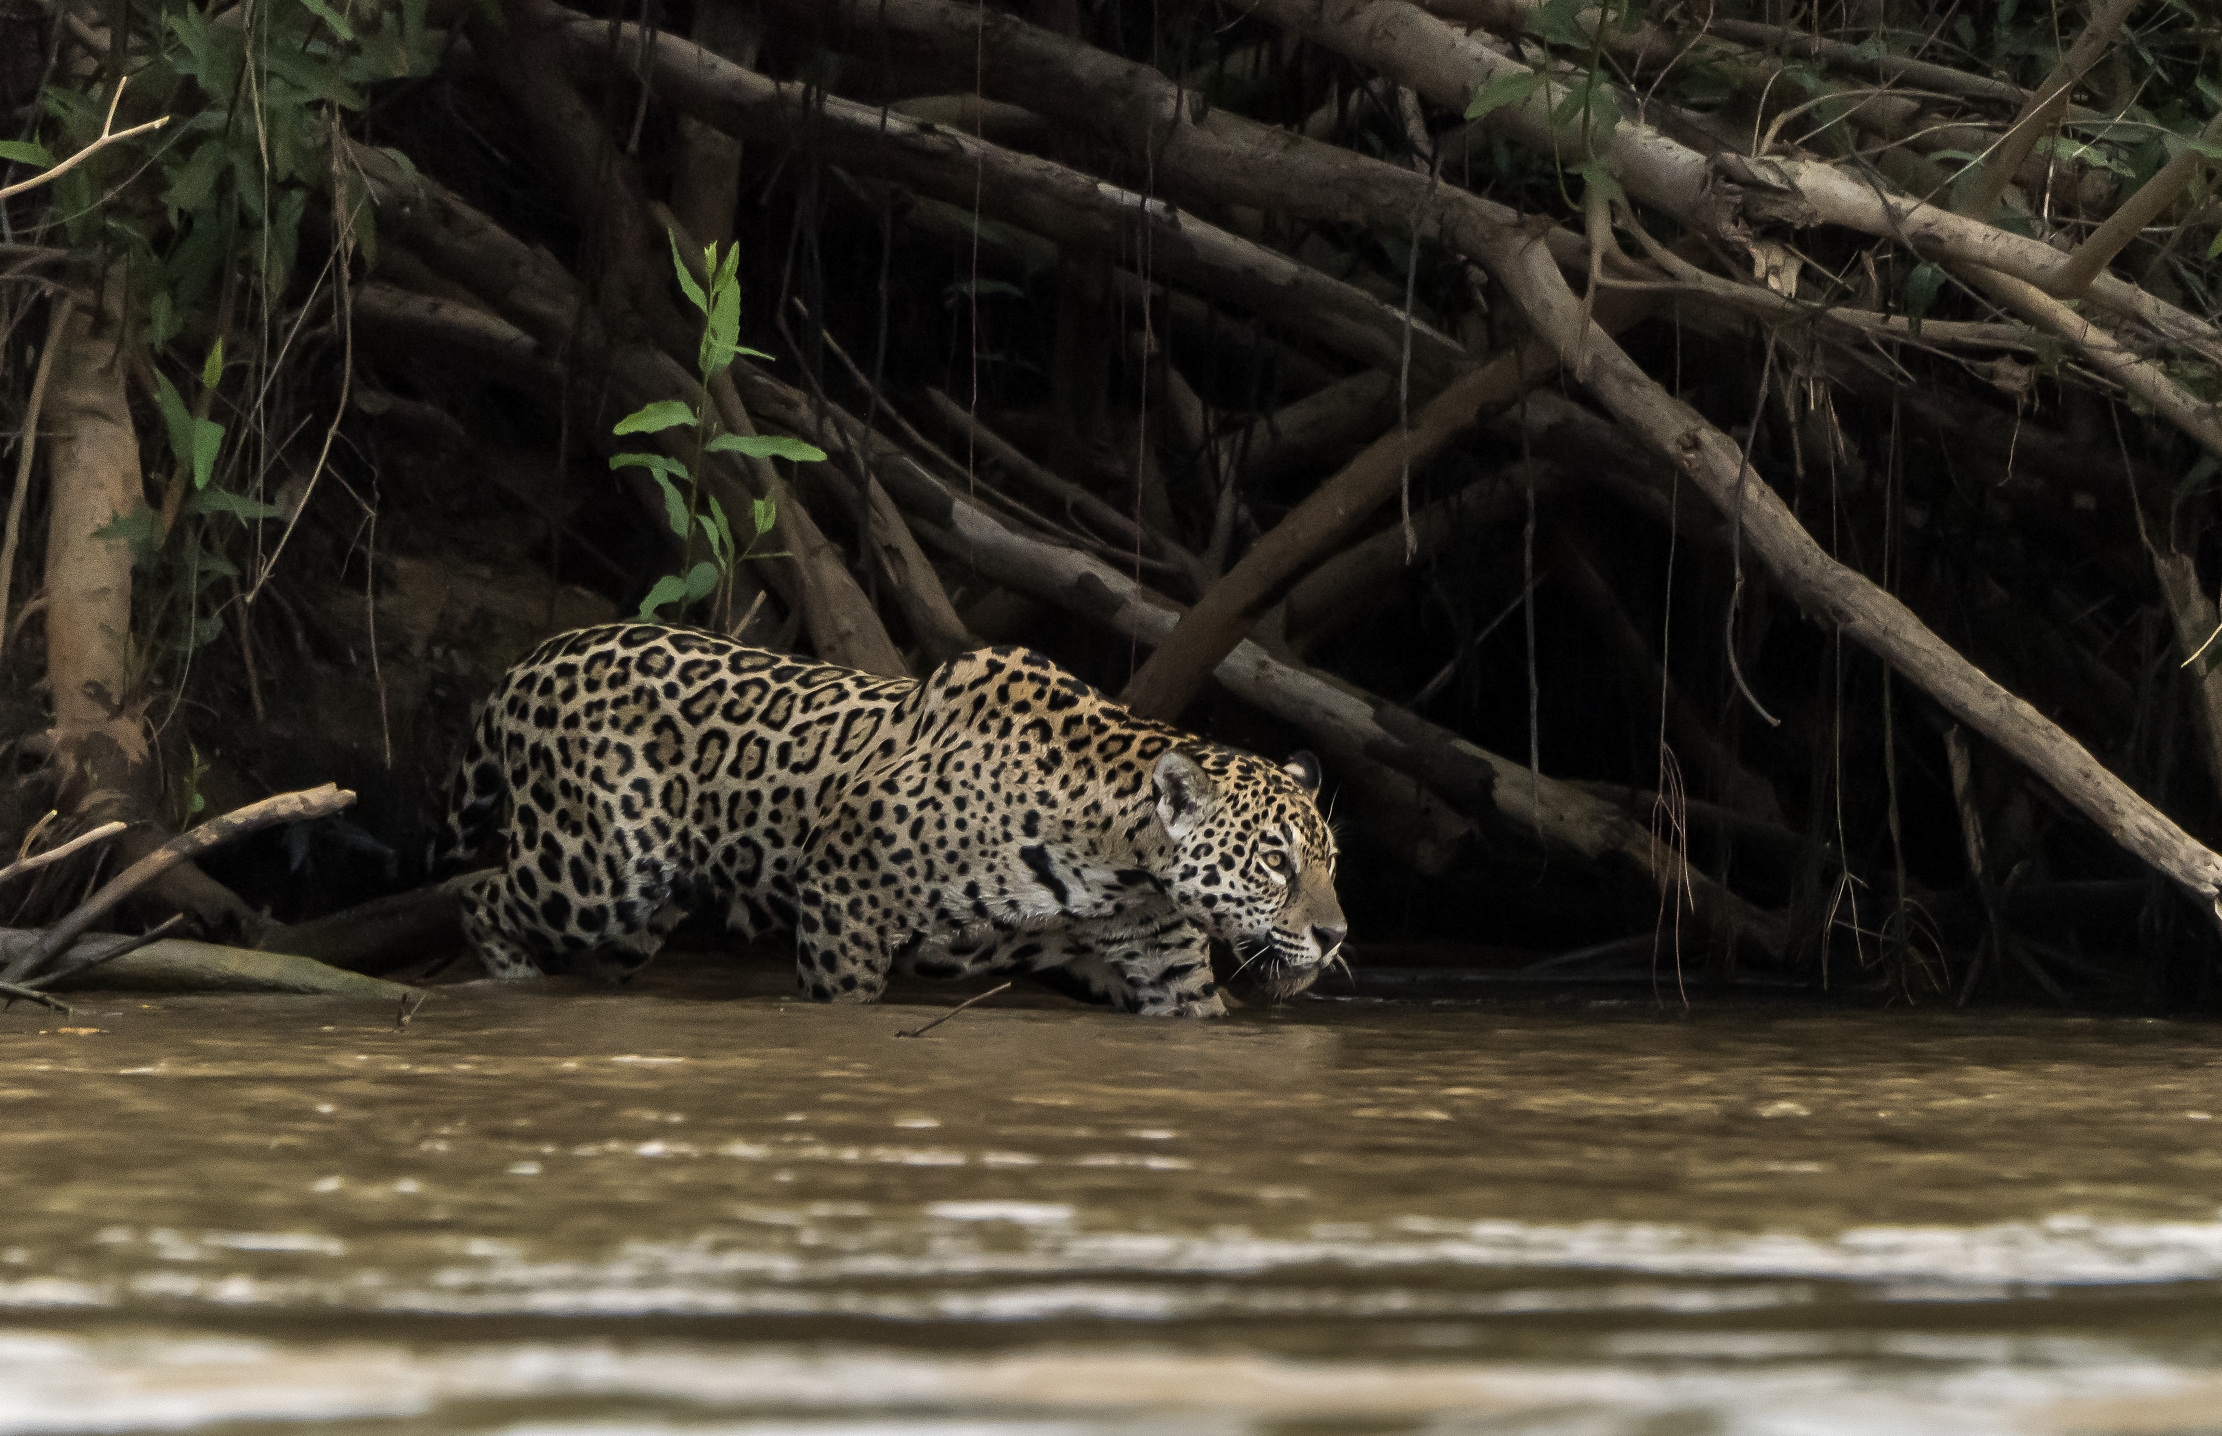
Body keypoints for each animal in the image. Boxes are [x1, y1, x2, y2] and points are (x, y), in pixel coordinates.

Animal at [435, 623, 1346, 1016]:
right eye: (1274, 860)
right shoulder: (846, 897)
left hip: (636, 916)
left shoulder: (1163, 960)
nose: (1336, 936)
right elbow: (846, 1000)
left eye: (1330, 860)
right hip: (595, 870)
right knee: (476, 892)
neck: (1118, 864)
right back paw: (509, 985)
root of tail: (530, 660)